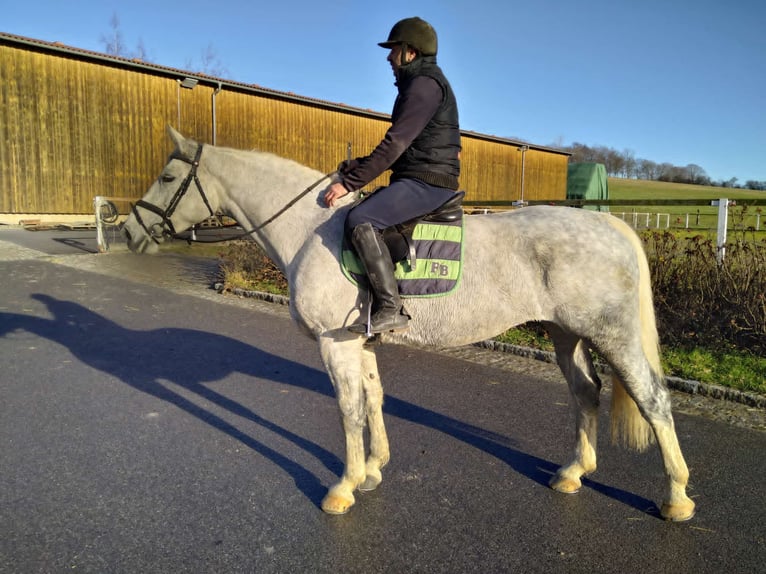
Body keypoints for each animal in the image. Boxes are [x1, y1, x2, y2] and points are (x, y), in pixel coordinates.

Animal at [122, 126, 696, 521]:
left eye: (169, 177)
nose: (129, 231)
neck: (311, 230)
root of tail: (610, 225)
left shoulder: (334, 343)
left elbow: (349, 409)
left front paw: (343, 487)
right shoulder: (360, 341)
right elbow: (373, 398)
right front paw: (374, 469)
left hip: (610, 334)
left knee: (651, 399)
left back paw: (676, 498)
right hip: (565, 335)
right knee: (585, 392)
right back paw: (575, 473)